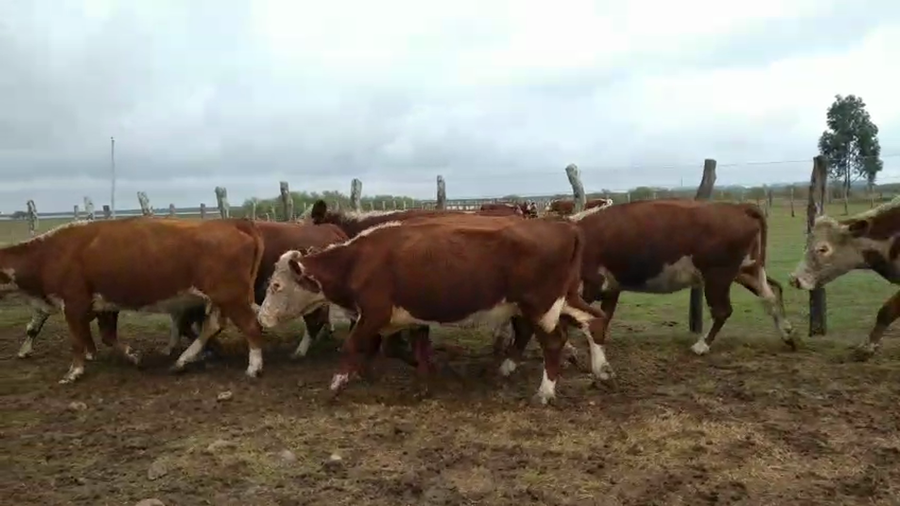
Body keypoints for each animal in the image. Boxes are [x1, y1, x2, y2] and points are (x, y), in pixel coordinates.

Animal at [0, 217, 265, 384]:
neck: (50, 253)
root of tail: (233, 223)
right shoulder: (105, 304)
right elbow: (107, 336)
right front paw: (132, 356)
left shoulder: (74, 304)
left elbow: (77, 340)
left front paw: (74, 372)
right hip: (221, 298)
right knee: (212, 326)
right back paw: (181, 361)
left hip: (231, 296)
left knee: (251, 326)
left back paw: (253, 367)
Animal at [257, 213, 608, 405]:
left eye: (276, 286)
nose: (261, 317)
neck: (359, 260)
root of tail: (564, 228)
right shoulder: (411, 316)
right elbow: (417, 349)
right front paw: (424, 381)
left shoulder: (374, 314)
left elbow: (354, 345)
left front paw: (336, 385)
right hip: (560, 299)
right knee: (595, 320)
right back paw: (601, 369)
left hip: (539, 306)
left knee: (554, 342)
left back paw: (546, 392)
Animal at [498, 199, 795, 385]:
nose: (505, 351)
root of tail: (739, 208)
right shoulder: (610, 288)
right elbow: (601, 319)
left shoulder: (588, 285)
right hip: (746, 270)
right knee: (771, 294)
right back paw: (787, 334)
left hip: (718, 275)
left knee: (723, 310)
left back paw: (702, 345)